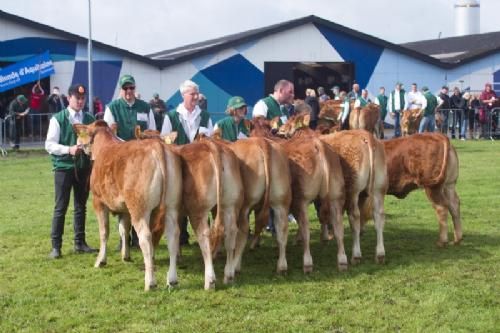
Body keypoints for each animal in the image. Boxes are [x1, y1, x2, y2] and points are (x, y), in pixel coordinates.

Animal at [73, 120, 183, 290]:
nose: (77, 143)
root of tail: (156, 146)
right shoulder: (124, 209)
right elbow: (123, 230)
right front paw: (126, 256)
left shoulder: (98, 201)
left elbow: (104, 232)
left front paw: (100, 260)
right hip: (171, 206)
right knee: (173, 236)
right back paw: (172, 279)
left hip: (139, 208)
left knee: (145, 236)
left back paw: (150, 282)